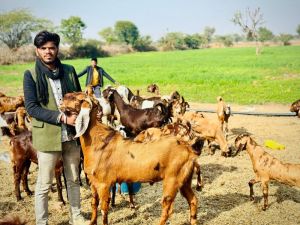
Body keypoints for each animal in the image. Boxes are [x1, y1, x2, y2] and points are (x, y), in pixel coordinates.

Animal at [60, 92, 202, 225]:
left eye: (76, 98)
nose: (61, 101)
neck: (98, 140)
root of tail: (189, 150)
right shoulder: (93, 182)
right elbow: (94, 205)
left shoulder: (104, 184)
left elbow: (104, 210)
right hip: (184, 180)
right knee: (193, 200)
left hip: (172, 180)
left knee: (168, 209)